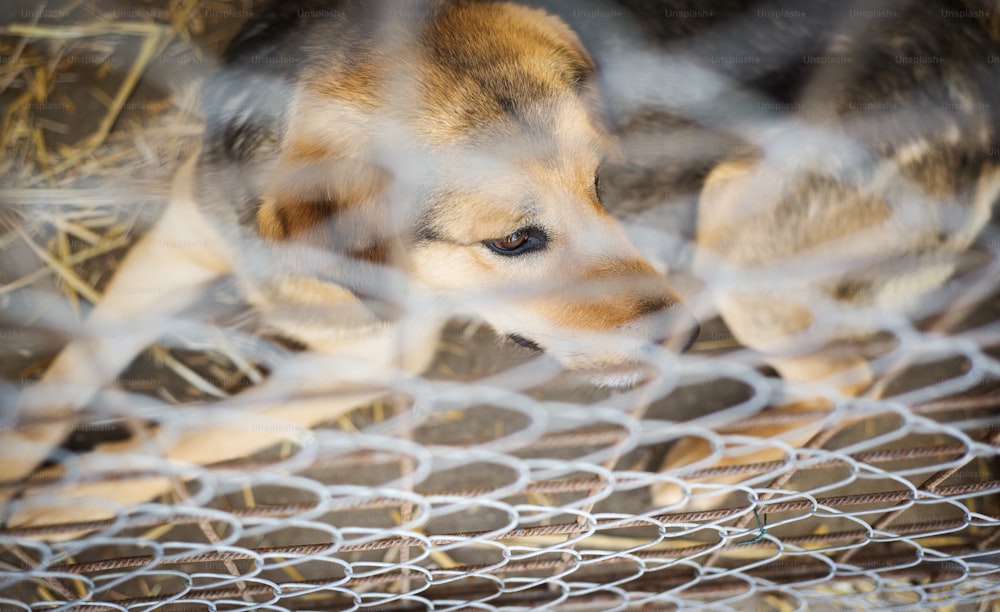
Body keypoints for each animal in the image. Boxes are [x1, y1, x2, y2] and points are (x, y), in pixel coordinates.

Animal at [0, 0, 700, 532]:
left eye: (599, 185)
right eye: (512, 241)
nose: (688, 336)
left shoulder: (374, 353)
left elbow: (201, 431)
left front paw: (75, 494)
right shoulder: (176, 244)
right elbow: (71, 371)